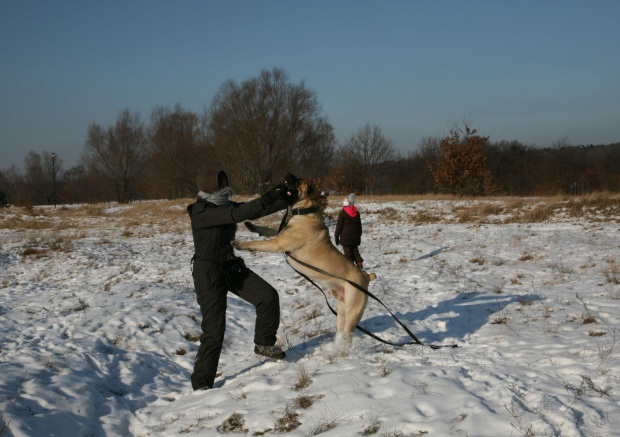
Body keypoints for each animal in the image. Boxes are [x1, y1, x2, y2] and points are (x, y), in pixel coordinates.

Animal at [234, 176, 376, 340]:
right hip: (342, 309)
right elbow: (267, 230)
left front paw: (239, 244)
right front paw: (251, 226)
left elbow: (256, 243)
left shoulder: (278, 243)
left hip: (353, 311)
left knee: (347, 335)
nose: (288, 174)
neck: (305, 211)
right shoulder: (280, 236)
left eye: (298, 180)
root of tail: (366, 276)